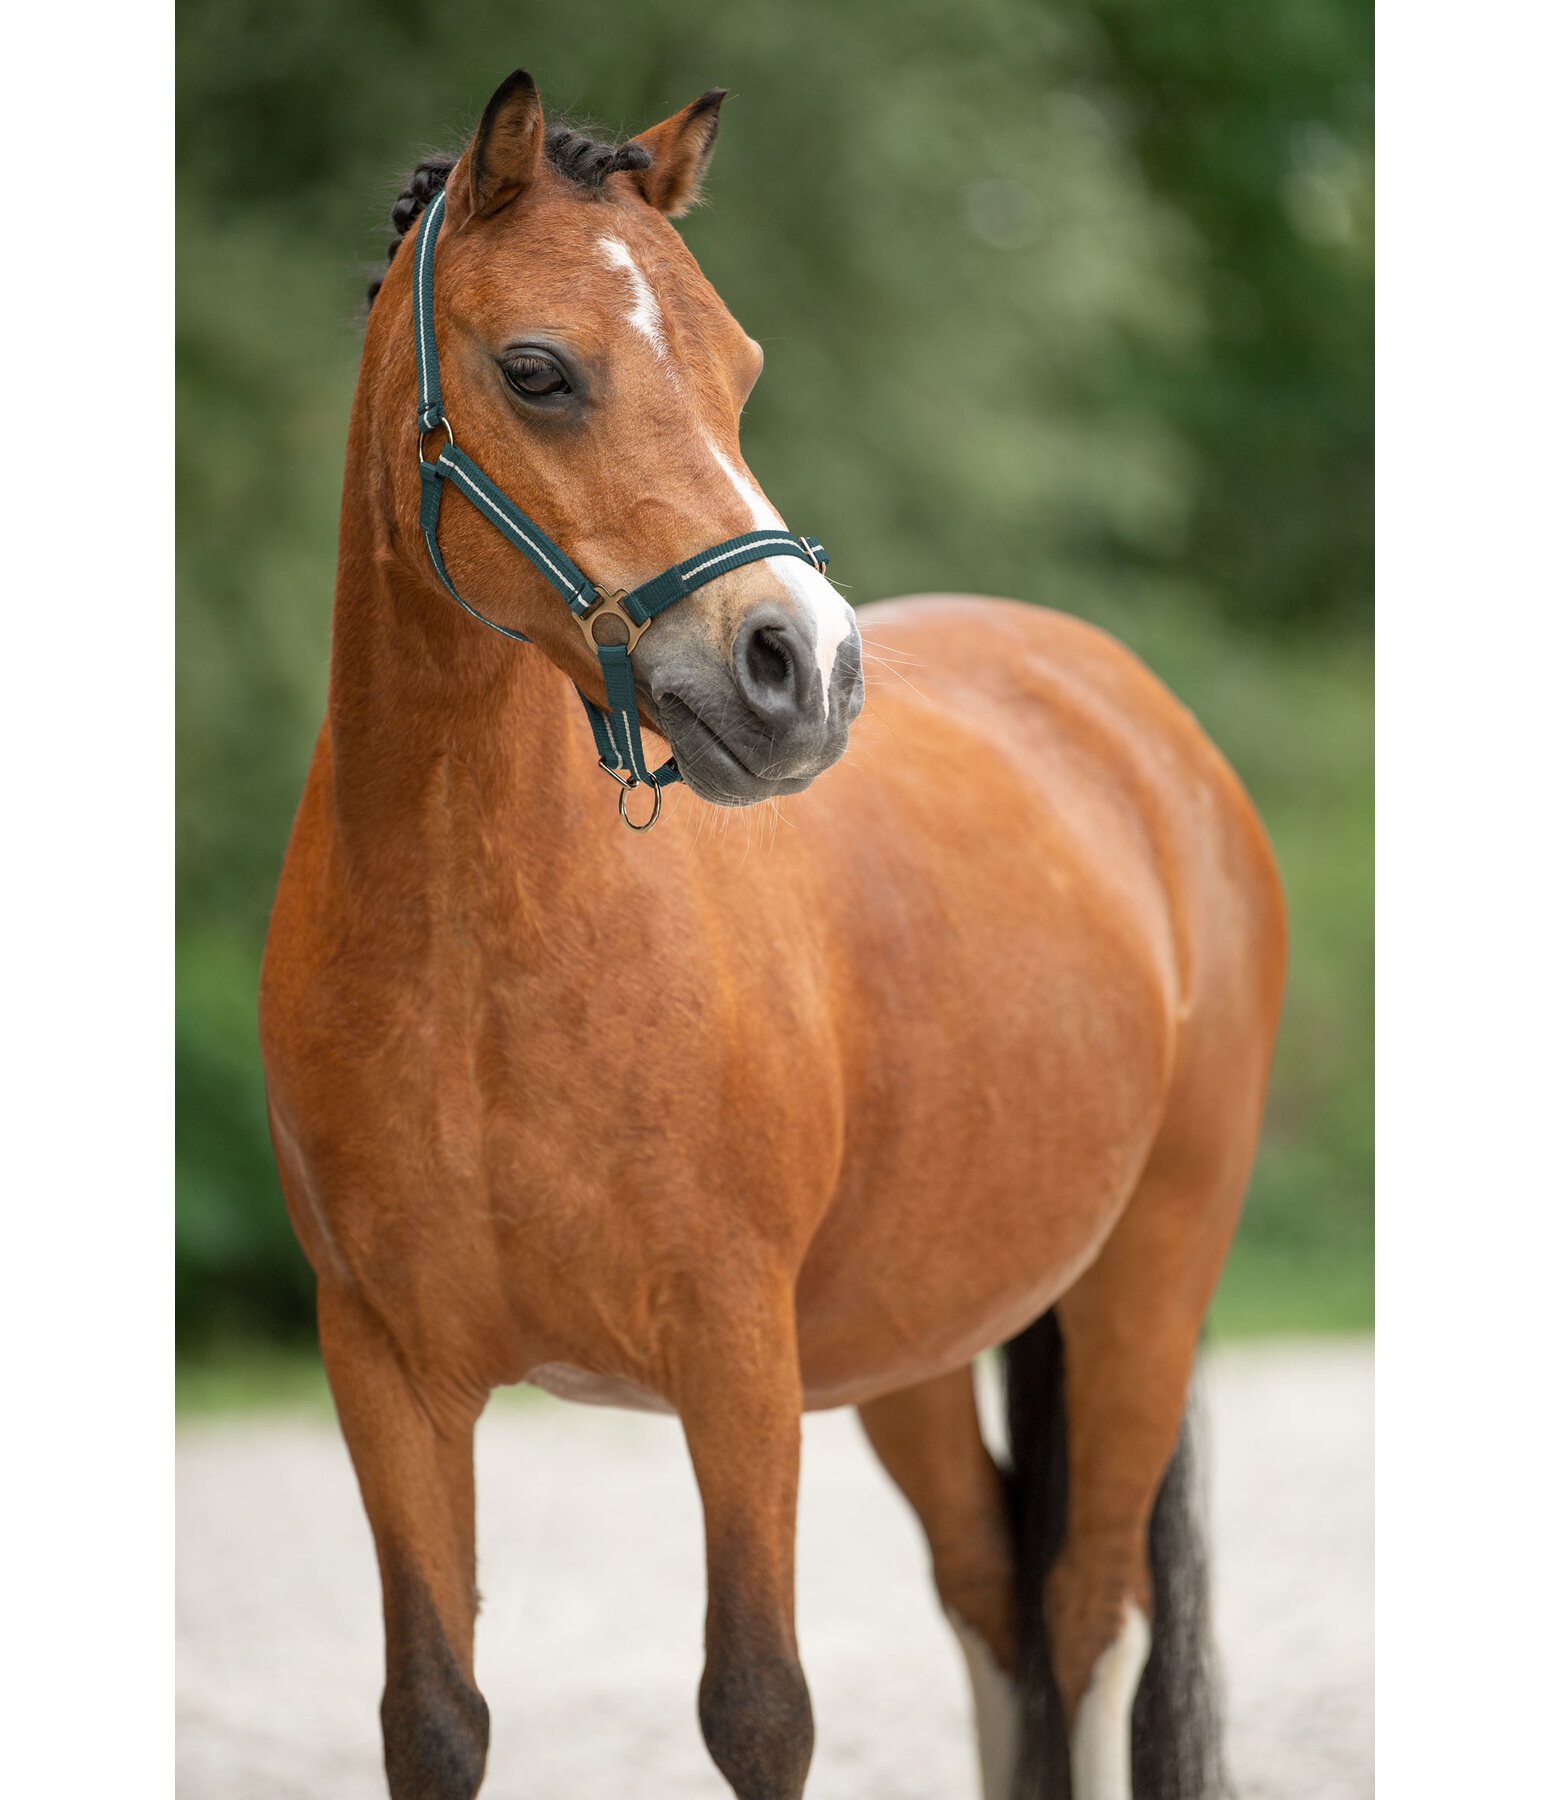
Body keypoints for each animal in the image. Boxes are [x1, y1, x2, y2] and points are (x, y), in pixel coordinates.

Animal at [259, 66, 1288, 1800]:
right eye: (535, 369)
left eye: (738, 368)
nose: (801, 670)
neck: (472, 957)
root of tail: (1143, 726)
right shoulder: (386, 1372)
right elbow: (433, 1717)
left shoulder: (737, 1362)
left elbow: (756, 1706)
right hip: (923, 1342)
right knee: (998, 1605)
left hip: (1143, 1285)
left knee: (1088, 1620)